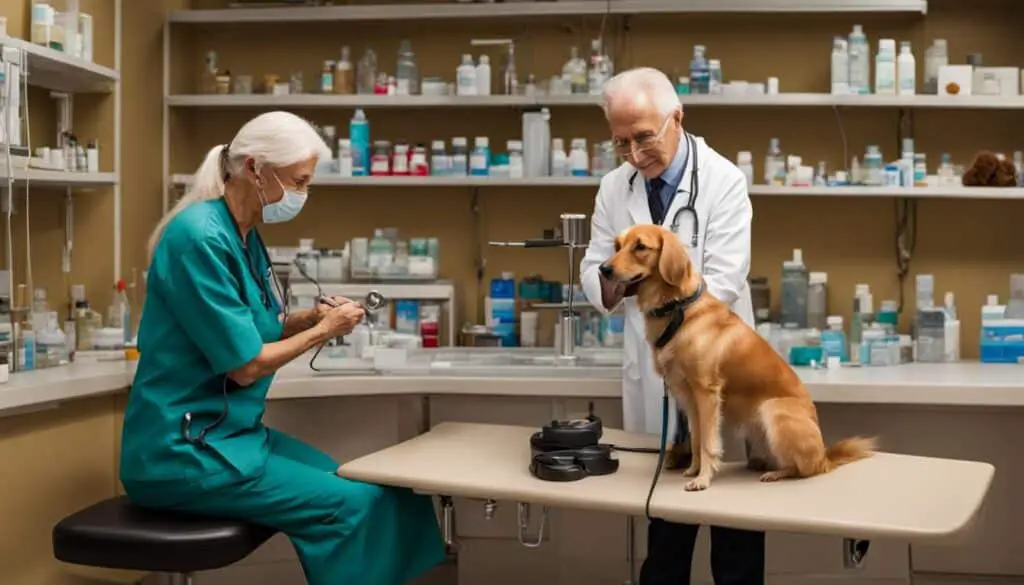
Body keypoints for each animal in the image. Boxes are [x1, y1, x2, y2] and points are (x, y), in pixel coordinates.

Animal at [602, 226, 876, 491]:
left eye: (640, 246)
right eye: (617, 246)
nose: (603, 269)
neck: (678, 308)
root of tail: (825, 457)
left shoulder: (707, 394)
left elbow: (708, 443)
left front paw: (703, 479)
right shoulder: (688, 398)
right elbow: (697, 438)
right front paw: (693, 469)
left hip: (771, 410)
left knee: (805, 469)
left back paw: (777, 474)